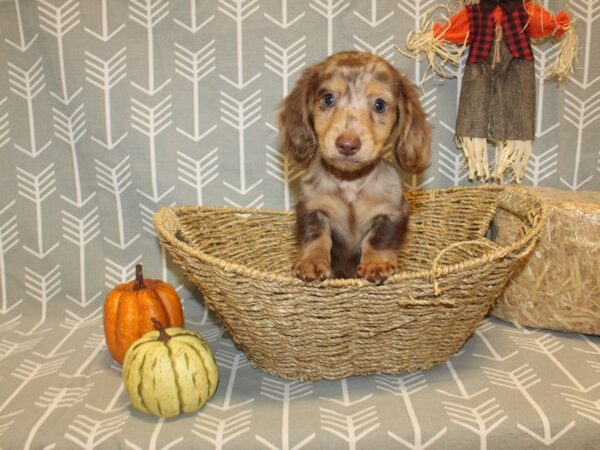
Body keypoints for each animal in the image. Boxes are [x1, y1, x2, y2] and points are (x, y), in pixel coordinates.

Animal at [278, 51, 428, 284]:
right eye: (328, 98)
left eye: (379, 104)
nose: (347, 144)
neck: (350, 183)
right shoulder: (312, 207)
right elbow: (315, 236)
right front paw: (311, 262)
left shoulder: (391, 212)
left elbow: (378, 239)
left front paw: (376, 264)